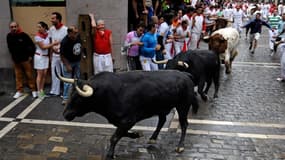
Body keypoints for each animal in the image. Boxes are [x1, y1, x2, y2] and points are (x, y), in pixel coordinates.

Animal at [56, 70, 199, 159]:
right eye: (70, 94)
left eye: (77, 98)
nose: (65, 114)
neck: (109, 93)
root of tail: (185, 74)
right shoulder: (118, 120)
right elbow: (121, 133)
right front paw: (137, 134)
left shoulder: (129, 120)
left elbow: (114, 137)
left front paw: (110, 154)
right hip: (161, 107)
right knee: (162, 120)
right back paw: (153, 137)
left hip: (183, 106)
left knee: (184, 124)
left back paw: (180, 146)